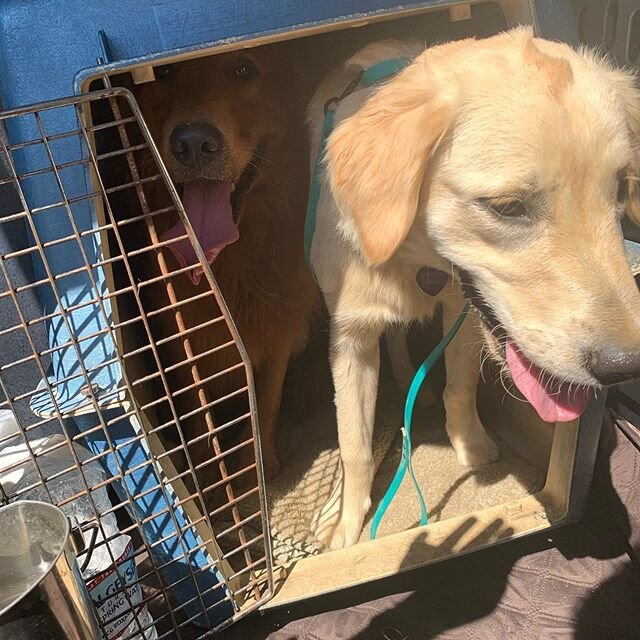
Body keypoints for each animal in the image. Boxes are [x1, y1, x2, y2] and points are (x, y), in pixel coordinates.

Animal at [136, 43, 322, 480]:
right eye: (163, 71)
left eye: (243, 69)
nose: (192, 143)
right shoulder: (182, 341)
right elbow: (198, 423)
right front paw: (214, 483)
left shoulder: (280, 328)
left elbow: (267, 403)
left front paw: (262, 467)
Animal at [308, 28, 640, 552]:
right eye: (506, 207)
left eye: (622, 189)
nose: (625, 367)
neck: (417, 264)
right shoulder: (349, 337)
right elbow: (353, 443)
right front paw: (345, 522)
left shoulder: (463, 312)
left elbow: (459, 388)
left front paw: (470, 444)